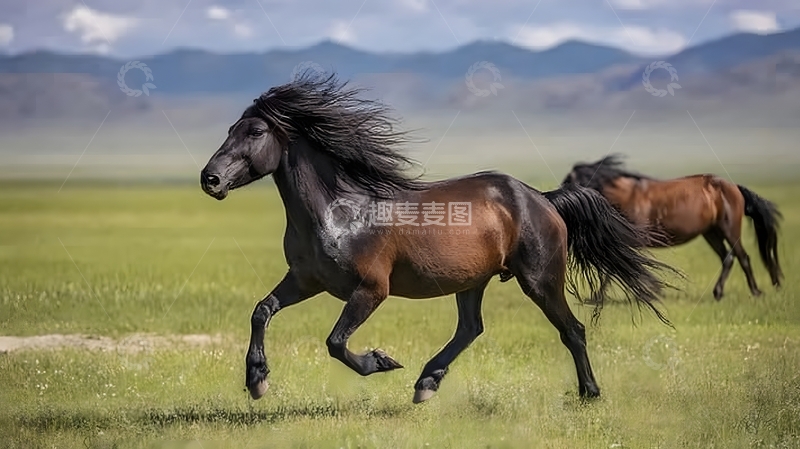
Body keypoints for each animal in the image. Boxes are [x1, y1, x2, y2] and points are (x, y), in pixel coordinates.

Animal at [200, 74, 674, 403]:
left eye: (255, 132)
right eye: (229, 128)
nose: (210, 179)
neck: (339, 214)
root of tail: (542, 198)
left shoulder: (371, 290)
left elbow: (335, 342)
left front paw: (381, 361)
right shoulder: (305, 280)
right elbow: (261, 311)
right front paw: (256, 380)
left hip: (539, 279)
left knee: (572, 330)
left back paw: (589, 393)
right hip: (473, 281)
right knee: (470, 328)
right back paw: (427, 382)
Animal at [563, 154, 782, 301]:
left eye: (569, 181)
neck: (628, 197)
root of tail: (734, 187)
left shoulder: (631, 239)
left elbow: (619, 266)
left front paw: (651, 290)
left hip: (729, 229)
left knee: (743, 257)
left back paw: (756, 292)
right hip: (711, 233)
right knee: (728, 258)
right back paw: (718, 293)